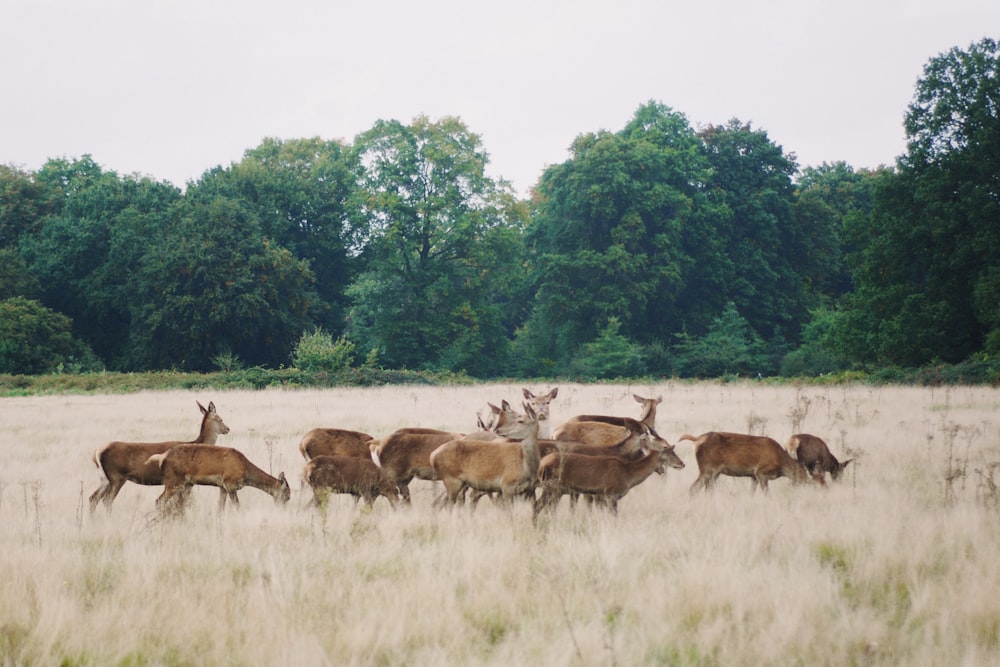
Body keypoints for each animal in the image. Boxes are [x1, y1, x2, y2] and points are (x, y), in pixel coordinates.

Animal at [88, 400, 230, 516]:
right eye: (220, 419)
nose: (227, 429)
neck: (195, 444)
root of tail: (97, 453)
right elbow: (181, 504)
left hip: (104, 478)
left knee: (93, 498)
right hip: (117, 476)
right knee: (107, 500)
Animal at [148, 444, 292, 516]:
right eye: (287, 495)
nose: (284, 510)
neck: (245, 471)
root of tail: (162, 457)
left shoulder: (222, 486)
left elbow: (220, 508)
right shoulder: (230, 483)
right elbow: (237, 506)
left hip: (186, 483)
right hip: (173, 481)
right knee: (158, 500)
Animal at [532, 440, 688, 520]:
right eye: (670, 453)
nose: (682, 463)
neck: (628, 476)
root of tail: (541, 465)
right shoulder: (611, 494)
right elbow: (614, 517)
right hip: (552, 487)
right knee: (538, 505)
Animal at [684, 430, 824, 494]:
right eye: (818, 485)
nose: (825, 493)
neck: (782, 466)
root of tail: (696, 439)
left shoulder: (753, 476)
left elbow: (751, 493)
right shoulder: (761, 472)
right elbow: (766, 493)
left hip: (714, 472)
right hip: (708, 468)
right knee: (692, 488)